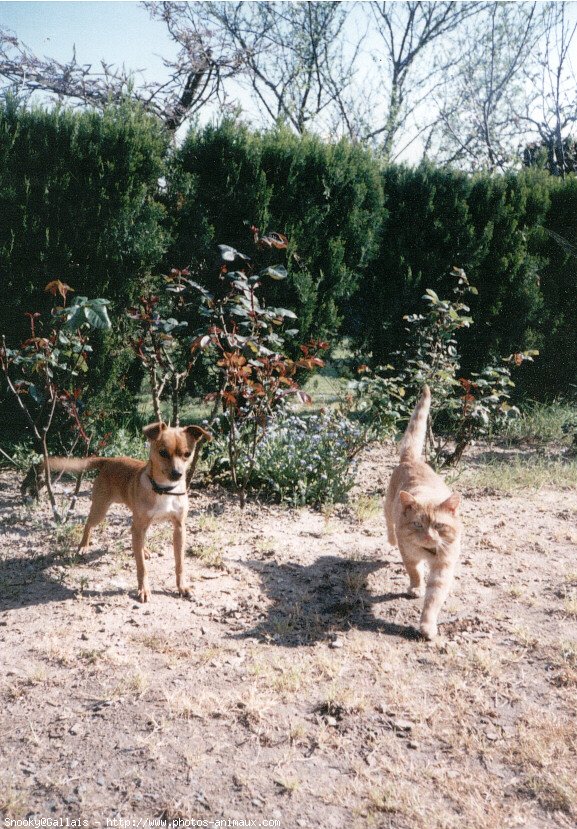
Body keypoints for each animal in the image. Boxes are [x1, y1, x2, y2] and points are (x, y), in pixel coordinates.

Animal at [44, 424, 212, 600]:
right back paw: (84, 546)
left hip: (139, 522)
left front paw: (182, 587)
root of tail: (109, 461)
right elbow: (142, 567)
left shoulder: (179, 529)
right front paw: (143, 589)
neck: (164, 490)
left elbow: (179, 564)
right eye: (163, 453)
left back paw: (143, 550)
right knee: (88, 524)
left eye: (187, 454)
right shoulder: (139, 528)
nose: (177, 473)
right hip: (101, 510)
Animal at [384, 384, 462, 636]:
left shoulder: (443, 567)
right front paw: (416, 588)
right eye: (418, 524)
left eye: (438, 525)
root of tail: (412, 459)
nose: (428, 536)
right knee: (389, 524)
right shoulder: (408, 554)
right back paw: (390, 539)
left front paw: (427, 625)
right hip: (388, 506)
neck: (428, 553)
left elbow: (434, 598)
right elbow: (415, 572)